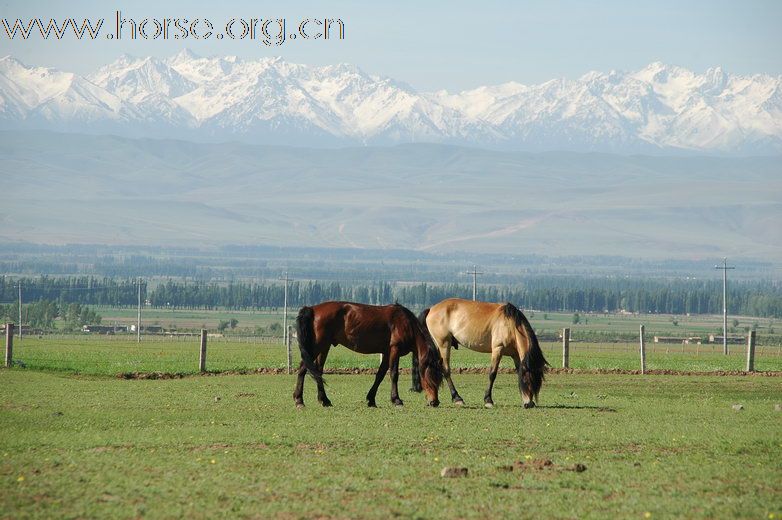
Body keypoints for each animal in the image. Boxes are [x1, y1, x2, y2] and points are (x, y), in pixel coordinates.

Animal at [294, 302, 444, 408]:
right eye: (431, 375)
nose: (435, 402)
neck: (405, 323)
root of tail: (312, 309)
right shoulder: (394, 350)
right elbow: (394, 374)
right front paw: (396, 400)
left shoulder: (387, 353)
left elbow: (380, 375)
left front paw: (371, 400)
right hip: (316, 347)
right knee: (303, 369)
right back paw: (299, 400)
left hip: (324, 347)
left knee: (318, 371)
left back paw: (324, 400)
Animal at [414, 298, 548, 408]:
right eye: (529, 378)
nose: (529, 404)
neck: (510, 324)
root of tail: (431, 309)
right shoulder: (497, 349)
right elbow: (492, 374)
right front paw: (488, 400)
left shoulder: (515, 355)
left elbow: (518, 372)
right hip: (444, 344)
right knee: (445, 369)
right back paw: (457, 398)